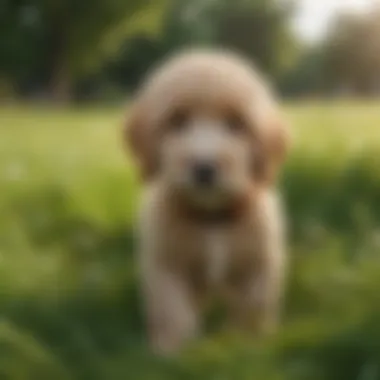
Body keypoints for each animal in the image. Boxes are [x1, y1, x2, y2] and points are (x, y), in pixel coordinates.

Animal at [123, 49, 290, 354]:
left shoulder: (260, 262)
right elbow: (173, 309)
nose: (204, 168)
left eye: (236, 123)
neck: (212, 218)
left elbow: (254, 304)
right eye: (177, 120)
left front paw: (247, 343)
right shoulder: (166, 264)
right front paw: (173, 348)